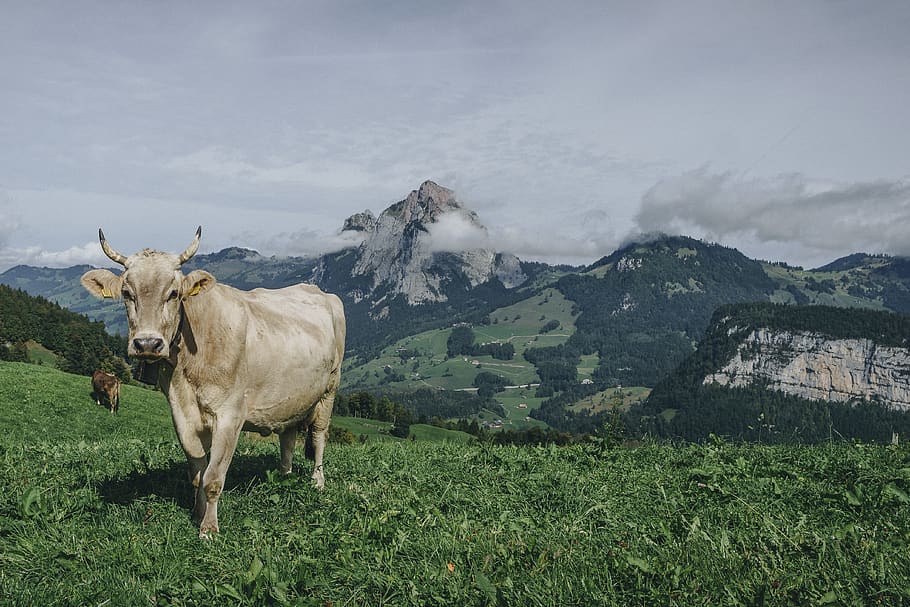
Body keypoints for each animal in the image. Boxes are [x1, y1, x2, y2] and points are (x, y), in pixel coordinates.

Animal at [80, 227, 345, 537]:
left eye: (174, 293)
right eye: (126, 293)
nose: (147, 344)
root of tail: (318, 291)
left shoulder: (230, 415)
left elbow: (213, 477)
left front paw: (208, 528)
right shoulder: (182, 413)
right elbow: (198, 472)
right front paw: (197, 513)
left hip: (329, 390)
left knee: (319, 436)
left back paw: (317, 482)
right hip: (291, 397)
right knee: (288, 436)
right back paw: (284, 475)